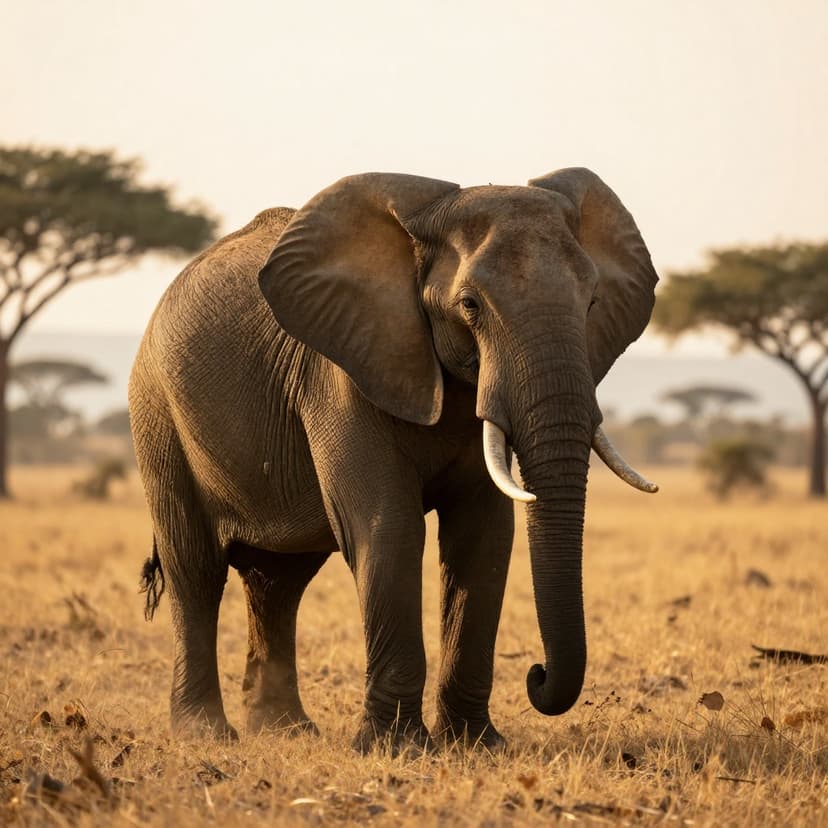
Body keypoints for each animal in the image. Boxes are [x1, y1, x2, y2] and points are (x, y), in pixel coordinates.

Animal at [129, 167, 659, 752]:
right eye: (470, 305)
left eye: (592, 303)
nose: (536, 675)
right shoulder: (341, 374)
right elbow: (389, 528)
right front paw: (398, 748)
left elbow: (484, 536)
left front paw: (475, 745)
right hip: (157, 414)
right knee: (195, 568)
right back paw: (206, 736)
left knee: (279, 581)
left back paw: (285, 731)